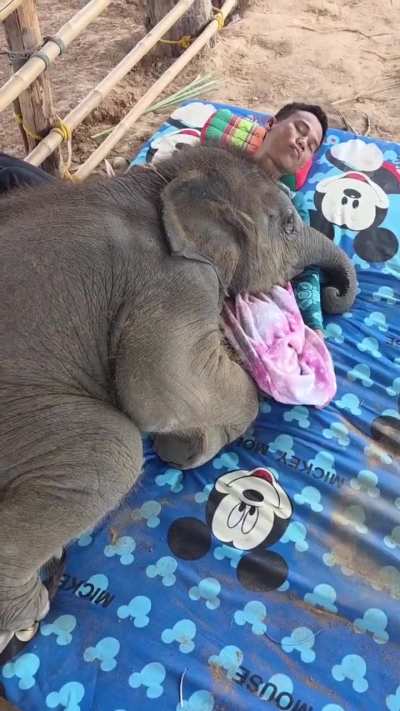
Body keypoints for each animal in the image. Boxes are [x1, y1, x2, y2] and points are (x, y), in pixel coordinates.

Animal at [0, 143, 357, 644]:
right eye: (288, 225)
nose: (331, 293)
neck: (163, 181)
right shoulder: (176, 281)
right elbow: (162, 387)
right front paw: (188, 448)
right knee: (112, 451)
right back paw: (27, 615)